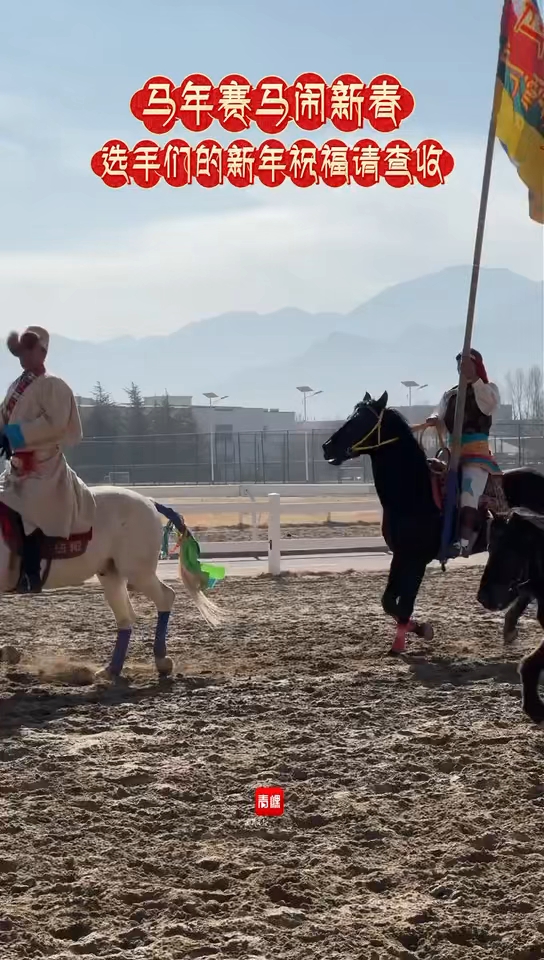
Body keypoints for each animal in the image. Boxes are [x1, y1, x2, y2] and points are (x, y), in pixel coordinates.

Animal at [0, 486, 227, 681]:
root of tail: (149, 502)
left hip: (137, 572)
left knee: (165, 597)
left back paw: (161, 660)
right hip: (111, 574)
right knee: (125, 618)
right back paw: (112, 669)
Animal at [322, 392, 544, 654]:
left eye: (363, 420)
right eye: (352, 415)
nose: (327, 446)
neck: (415, 492)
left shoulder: (417, 559)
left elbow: (404, 604)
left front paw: (404, 641)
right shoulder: (401, 555)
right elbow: (388, 602)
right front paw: (418, 629)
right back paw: (509, 628)